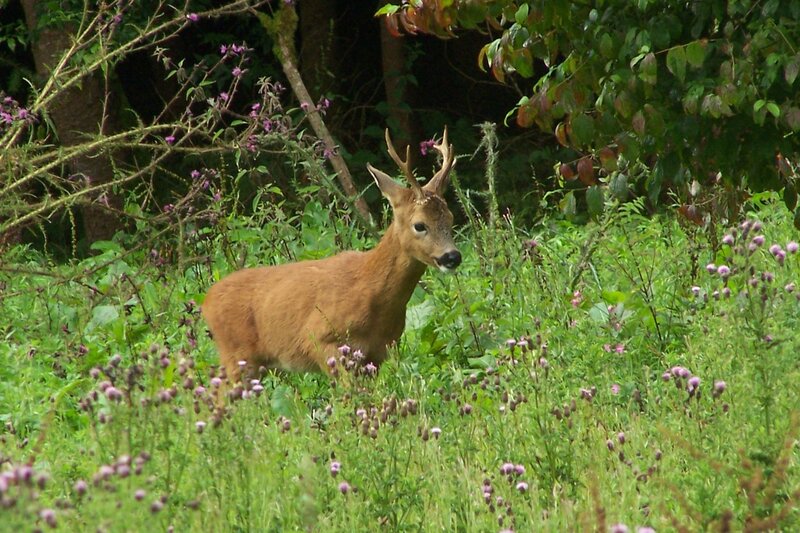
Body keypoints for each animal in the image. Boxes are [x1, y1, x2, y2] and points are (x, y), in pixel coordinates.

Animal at [201, 128, 461, 381]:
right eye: (420, 225)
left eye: (450, 218)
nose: (452, 257)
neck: (372, 292)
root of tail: (207, 300)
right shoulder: (318, 339)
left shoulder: (377, 354)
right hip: (237, 355)